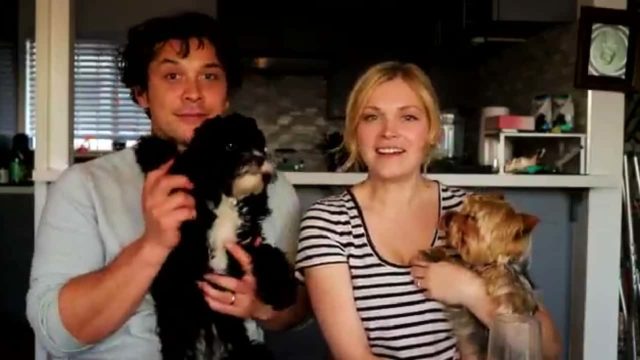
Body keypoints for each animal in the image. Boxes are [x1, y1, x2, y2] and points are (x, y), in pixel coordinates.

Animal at [134, 113, 298, 360]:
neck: (226, 199)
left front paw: (282, 290)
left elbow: (270, 256)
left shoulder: (247, 242)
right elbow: (176, 164)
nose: (260, 158)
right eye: (230, 145)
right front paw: (152, 147)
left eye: (261, 146)